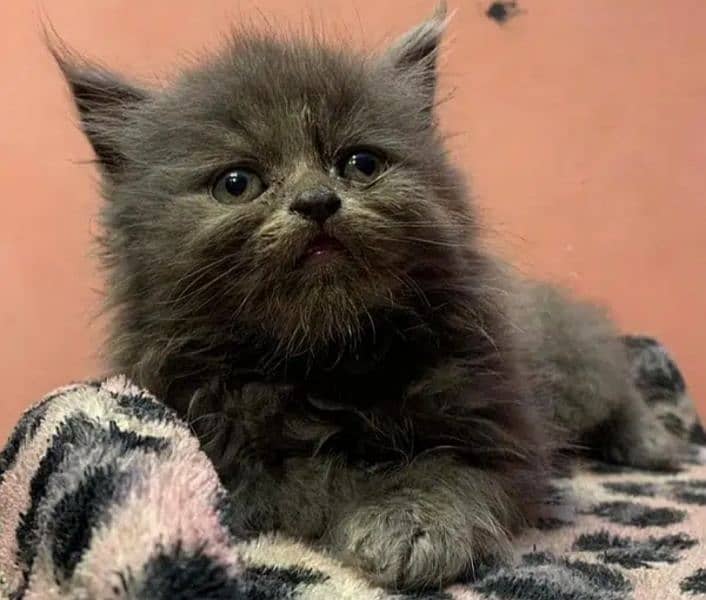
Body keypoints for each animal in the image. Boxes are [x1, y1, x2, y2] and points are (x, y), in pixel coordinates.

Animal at [52, 2, 680, 588]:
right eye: (236, 183)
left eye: (361, 163)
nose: (316, 201)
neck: (329, 362)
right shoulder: (237, 458)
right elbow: (320, 481)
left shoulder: (507, 431)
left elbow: (447, 470)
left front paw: (411, 527)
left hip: (573, 367)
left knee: (617, 385)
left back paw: (653, 441)